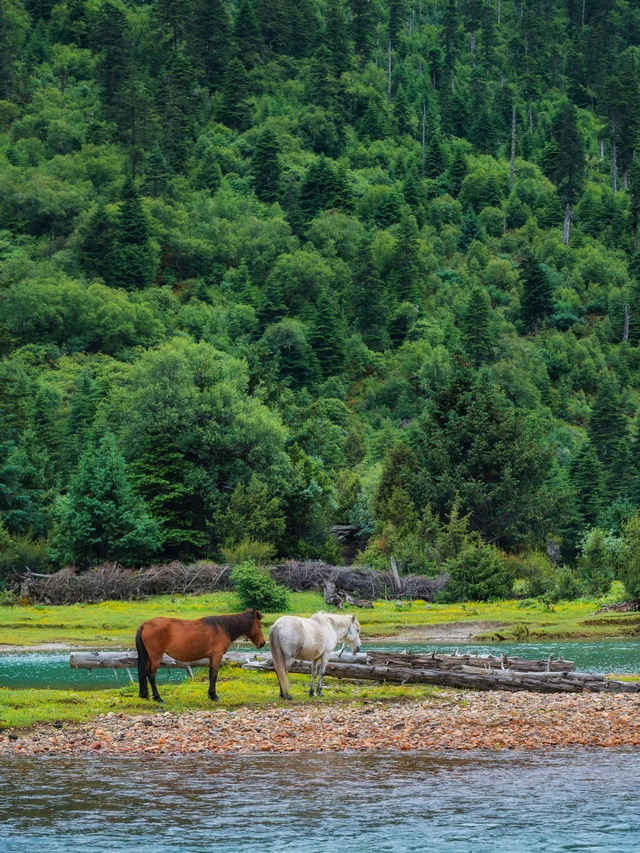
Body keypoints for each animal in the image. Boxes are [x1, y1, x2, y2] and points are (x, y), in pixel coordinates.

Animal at [135, 608, 264, 704]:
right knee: (151, 675)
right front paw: (214, 696)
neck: (222, 628)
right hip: (155, 657)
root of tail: (145, 625)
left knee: (145, 673)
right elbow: (214, 675)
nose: (262, 643)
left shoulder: (211, 657)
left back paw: (145, 696)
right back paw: (158, 698)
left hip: (149, 657)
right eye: (259, 625)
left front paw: (210, 695)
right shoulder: (217, 656)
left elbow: (211, 674)